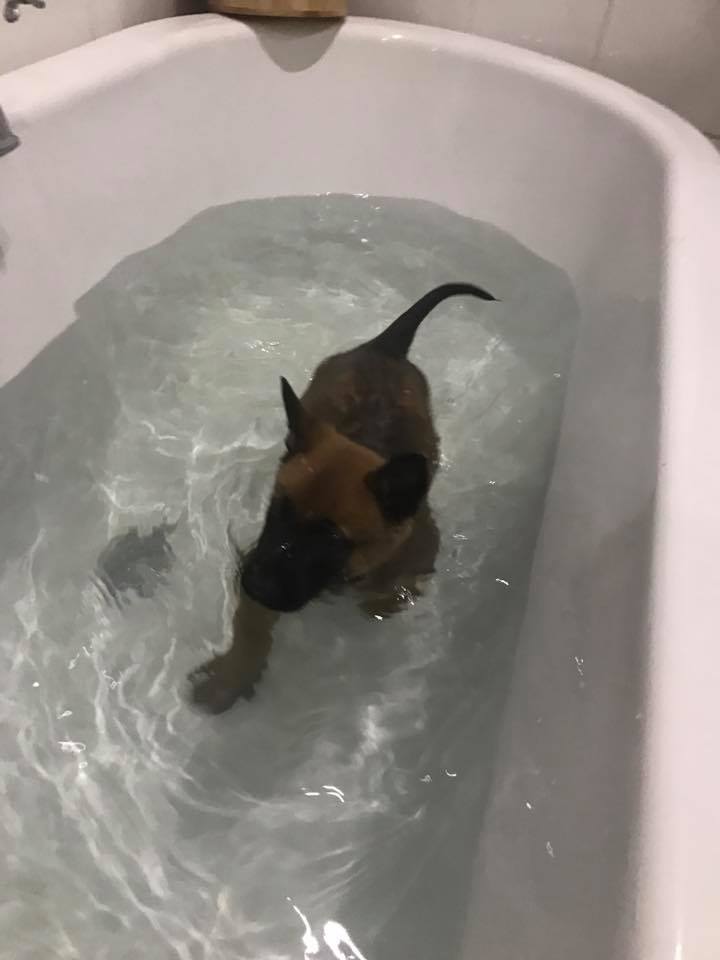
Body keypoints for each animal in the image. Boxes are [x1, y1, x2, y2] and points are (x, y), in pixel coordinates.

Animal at [189, 282, 495, 713]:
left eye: (331, 537)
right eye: (279, 507)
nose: (253, 585)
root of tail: (385, 347)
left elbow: (394, 591)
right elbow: (250, 629)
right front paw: (234, 675)